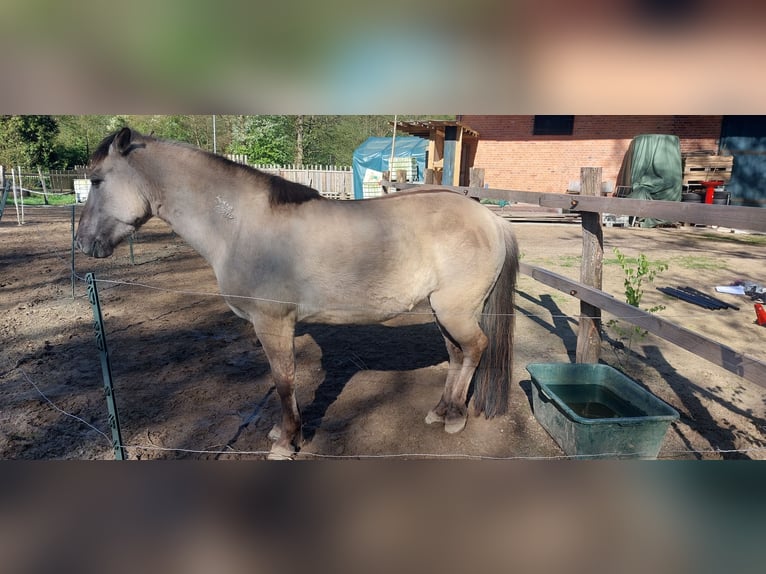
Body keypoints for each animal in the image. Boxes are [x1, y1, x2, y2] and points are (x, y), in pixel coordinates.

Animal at [76, 128, 520, 462]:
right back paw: (441, 411)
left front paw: (287, 441)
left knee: (474, 349)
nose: (83, 243)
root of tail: (491, 219)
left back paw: (456, 417)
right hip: (444, 311)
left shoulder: (273, 324)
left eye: (97, 181)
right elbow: (282, 383)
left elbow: (284, 380)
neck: (240, 225)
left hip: (456, 310)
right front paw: (280, 432)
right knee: (457, 355)